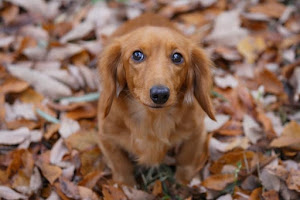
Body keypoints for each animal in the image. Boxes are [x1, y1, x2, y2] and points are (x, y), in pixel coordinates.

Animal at [97, 12, 214, 186]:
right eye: (137, 55)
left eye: (177, 57)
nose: (160, 94)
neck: (152, 119)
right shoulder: (106, 137)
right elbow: (121, 165)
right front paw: (126, 186)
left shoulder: (197, 132)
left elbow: (186, 159)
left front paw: (182, 182)